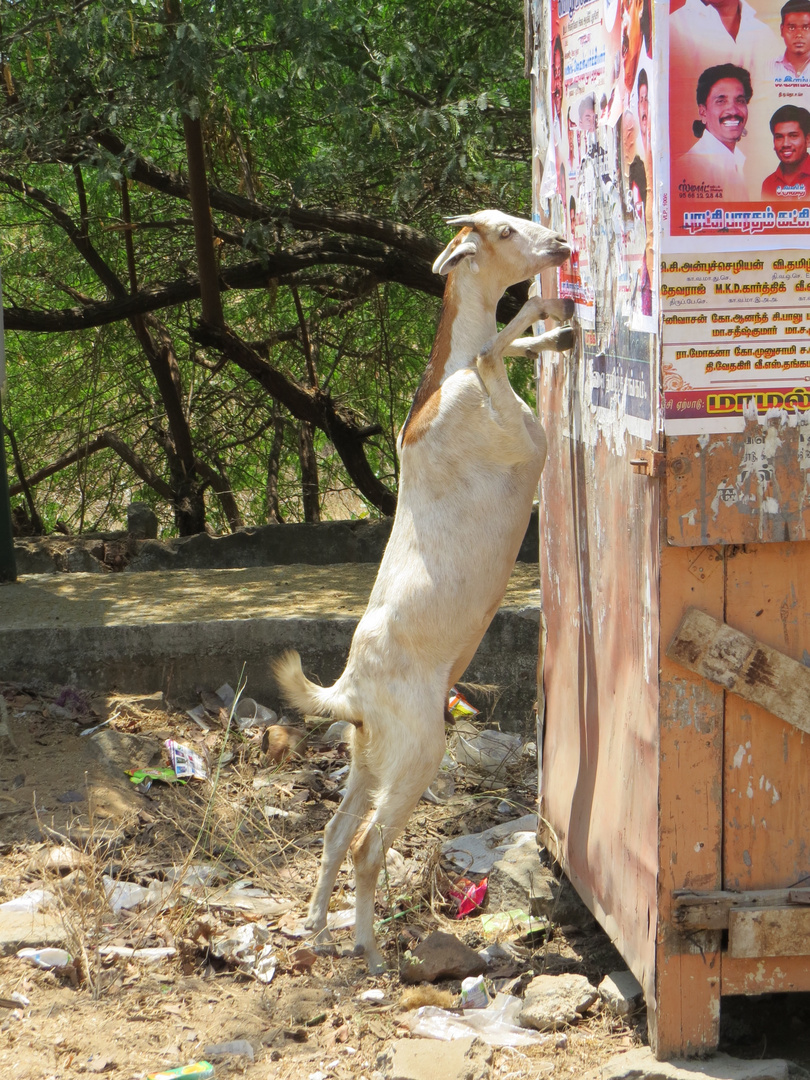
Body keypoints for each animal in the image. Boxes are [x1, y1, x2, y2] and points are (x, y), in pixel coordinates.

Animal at [276, 208, 574, 972]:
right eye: (502, 230)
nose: (561, 243)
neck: (439, 393)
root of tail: (347, 690)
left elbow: (499, 348)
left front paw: (559, 327)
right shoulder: (517, 436)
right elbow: (493, 351)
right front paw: (551, 314)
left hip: (368, 758)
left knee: (333, 832)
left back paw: (317, 928)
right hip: (418, 753)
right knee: (366, 847)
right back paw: (370, 952)